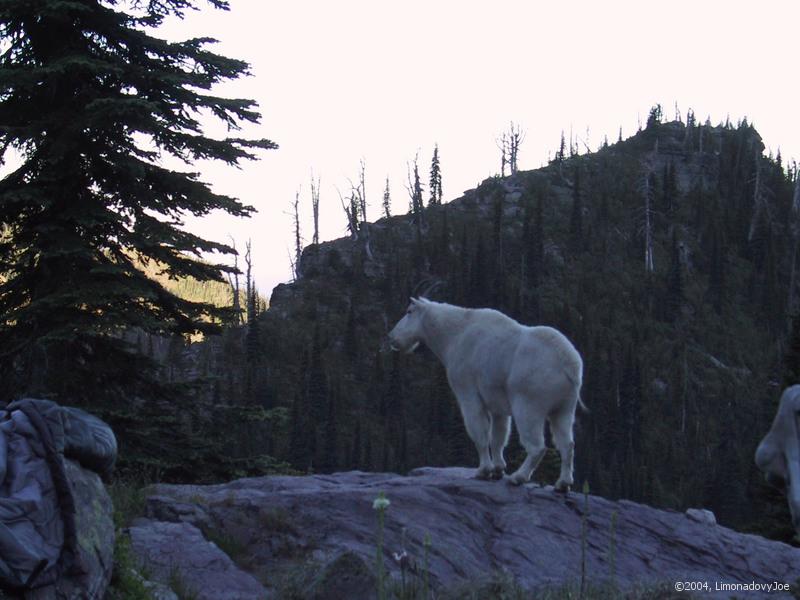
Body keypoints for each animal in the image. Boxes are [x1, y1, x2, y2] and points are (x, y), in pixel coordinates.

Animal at [388, 298, 580, 490]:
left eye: (409, 311)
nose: (392, 337)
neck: (453, 335)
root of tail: (569, 365)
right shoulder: (495, 391)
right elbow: (499, 430)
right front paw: (498, 469)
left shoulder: (466, 380)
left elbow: (477, 424)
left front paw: (483, 470)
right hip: (566, 399)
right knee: (565, 435)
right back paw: (563, 483)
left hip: (531, 391)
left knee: (534, 436)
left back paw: (518, 476)